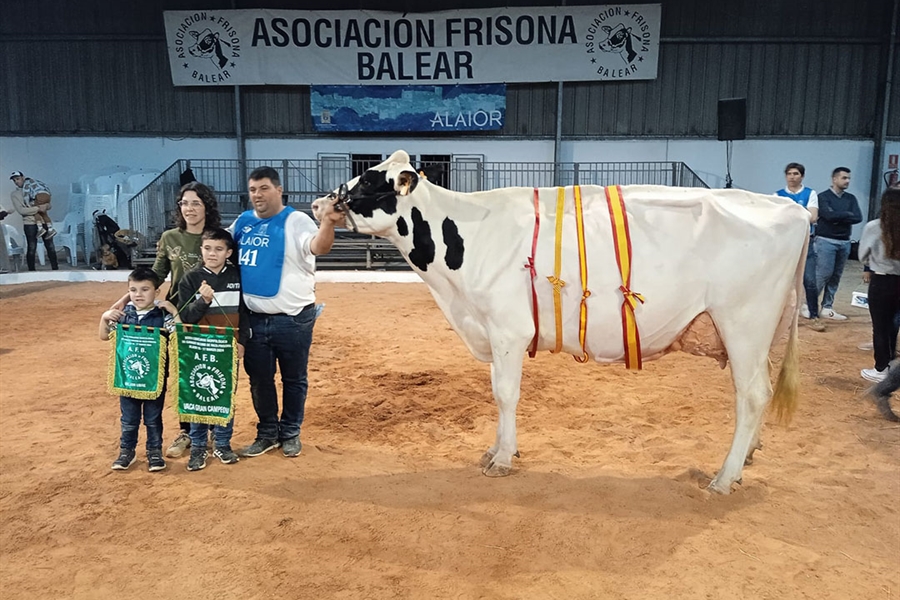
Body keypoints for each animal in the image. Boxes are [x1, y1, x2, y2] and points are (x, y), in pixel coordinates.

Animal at [312, 149, 812, 492]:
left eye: (366, 183)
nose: (319, 204)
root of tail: (792, 208)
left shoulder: (509, 329)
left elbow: (505, 394)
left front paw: (503, 459)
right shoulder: (492, 330)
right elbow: (497, 393)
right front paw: (496, 449)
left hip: (743, 322)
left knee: (752, 395)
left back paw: (724, 477)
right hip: (761, 333)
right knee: (762, 390)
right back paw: (747, 458)